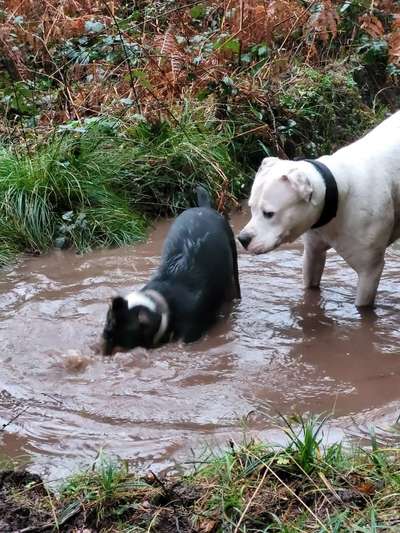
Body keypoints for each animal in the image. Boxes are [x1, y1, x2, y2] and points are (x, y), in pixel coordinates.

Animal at [103, 185, 241, 356]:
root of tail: (205, 207)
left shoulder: (190, 333)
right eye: (106, 331)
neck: (164, 303)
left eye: (121, 338)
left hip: (233, 262)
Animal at [239, 110, 400, 306]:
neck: (337, 193)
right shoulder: (312, 253)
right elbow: (310, 286)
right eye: (251, 208)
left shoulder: (369, 272)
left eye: (269, 214)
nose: (242, 239)